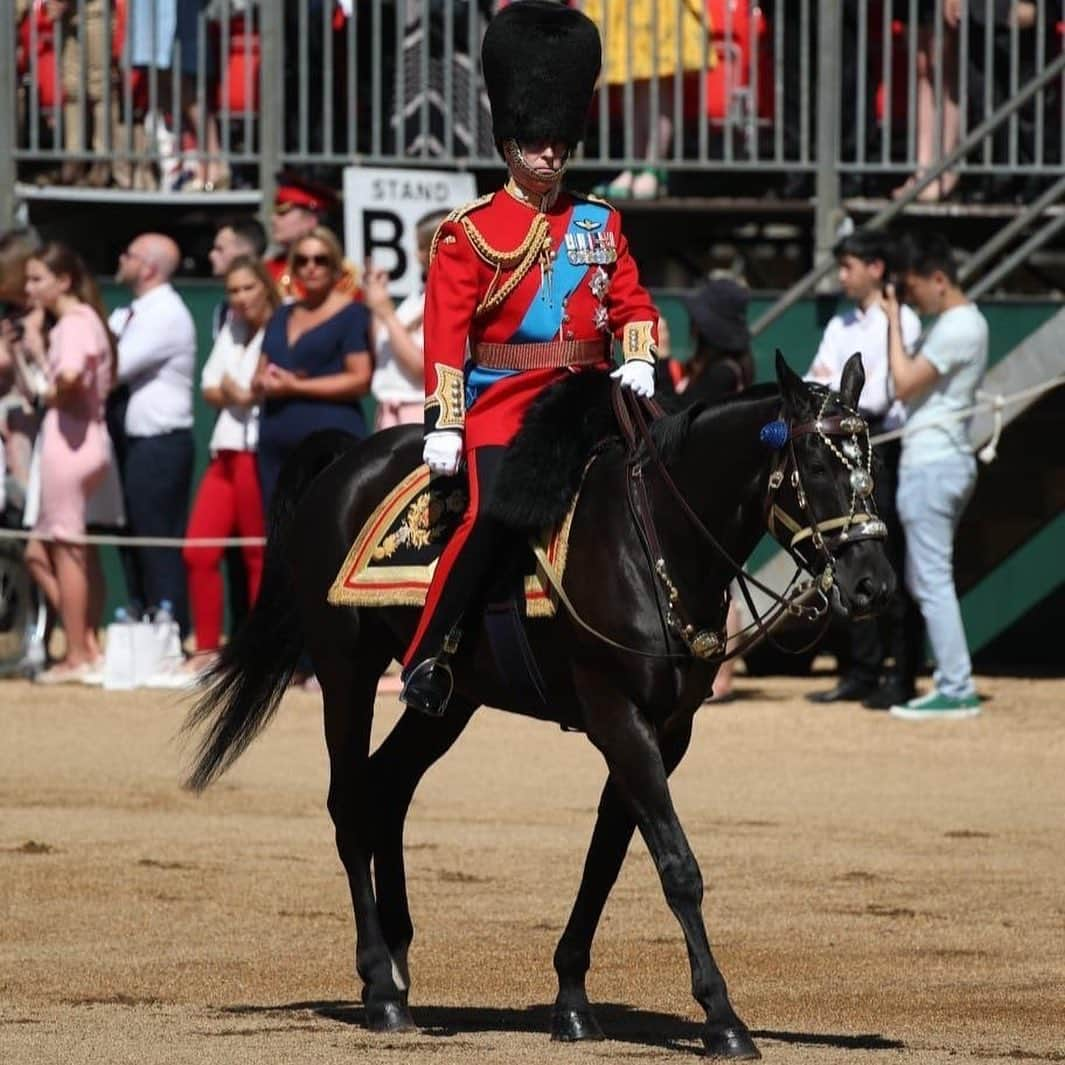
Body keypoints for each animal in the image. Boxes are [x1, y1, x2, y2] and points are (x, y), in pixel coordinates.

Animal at [183, 353, 890, 1060]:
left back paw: (398, 965)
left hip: (449, 701)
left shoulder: (665, 730)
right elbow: (676, 865)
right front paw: (722, 1016)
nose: (873, 585)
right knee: (350, 803)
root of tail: (347, 462)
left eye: (872, 466)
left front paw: (572, 1001)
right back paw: (380, 986)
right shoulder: (617, 715)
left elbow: (605, 858)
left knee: (389, 789)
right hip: (346, 670)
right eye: (817, 466)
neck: (654, 539)